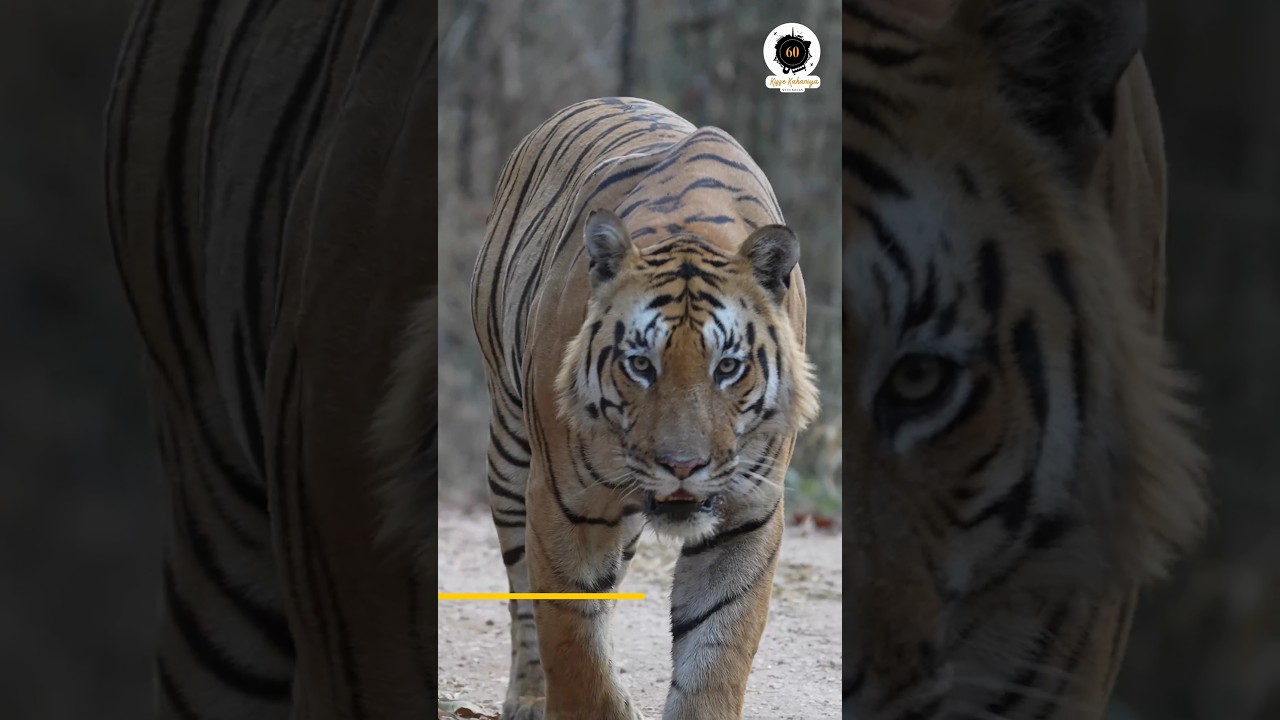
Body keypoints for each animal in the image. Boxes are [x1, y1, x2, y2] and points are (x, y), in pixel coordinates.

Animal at [455, 96, 820, 719]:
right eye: (640, 364)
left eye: (728, 366)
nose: (682, 466)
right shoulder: (563, 502)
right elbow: (574, 646)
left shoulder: (747, 511)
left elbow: (717, 648)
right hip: (509, 448)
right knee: (523, 592)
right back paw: (529, 696)